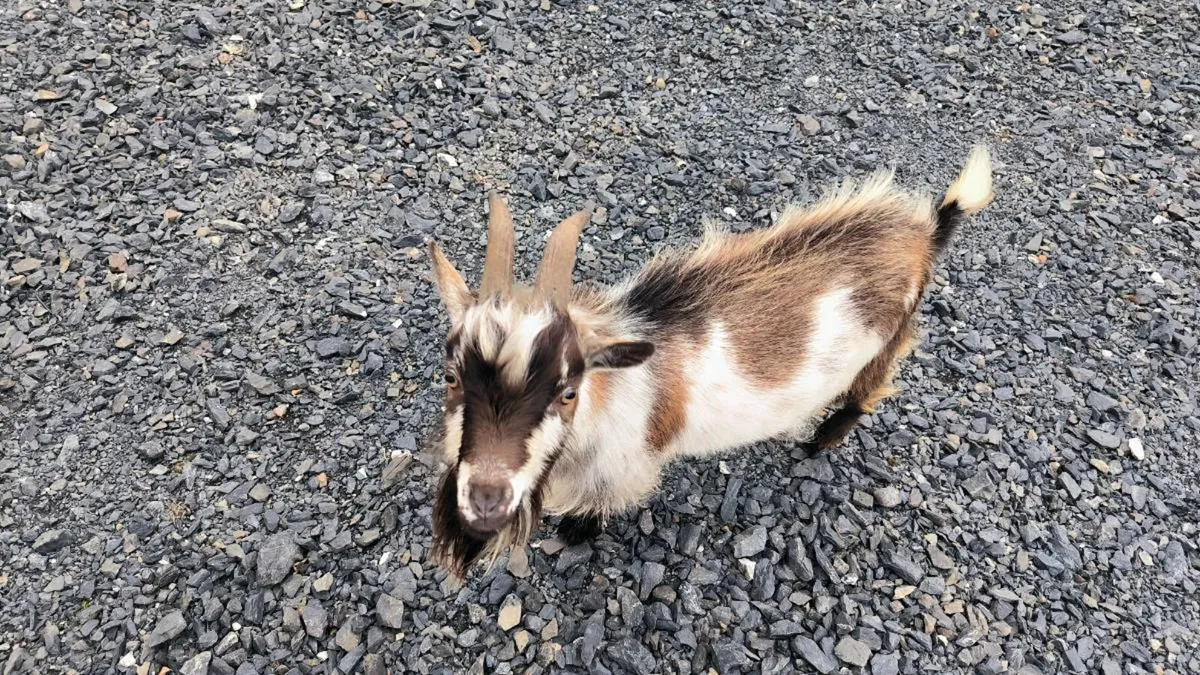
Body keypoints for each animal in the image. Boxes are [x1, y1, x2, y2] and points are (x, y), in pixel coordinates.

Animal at [427, 146, 994, 579]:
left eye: (568, 390)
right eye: (451, 376)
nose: (485, 500)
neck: (607, 395)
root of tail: (927, 231)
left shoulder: (624, 463)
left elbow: (605, 501)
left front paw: (577, 531)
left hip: (885, 341)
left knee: (866, 394)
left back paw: (818, 443)